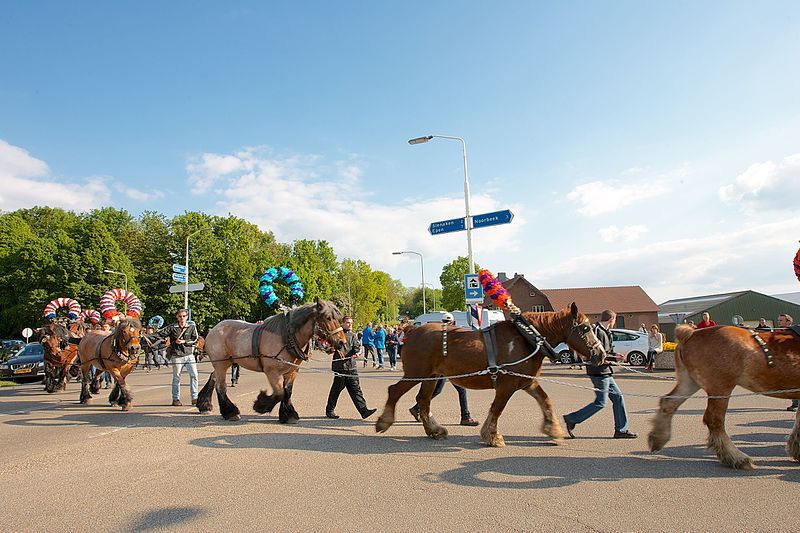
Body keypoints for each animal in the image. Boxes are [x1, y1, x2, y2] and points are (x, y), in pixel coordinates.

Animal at [198, 300, 346, 420]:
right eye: (328, 318)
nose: (342, 342)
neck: (287, 338)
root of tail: (213, 329)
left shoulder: (292, 371)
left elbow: (288, 392)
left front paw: (288, 414)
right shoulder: (273, 372)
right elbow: (280, 393)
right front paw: (260, 405)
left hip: (226, 363)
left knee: (213, 378)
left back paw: (204, 405)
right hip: (221, 363)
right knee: (221, 386)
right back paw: (230, 412)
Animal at [376, 304, 608, 444]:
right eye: (585, 328)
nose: (601, 354)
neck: (528, 338)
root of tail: (411, 330)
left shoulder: (526, 383)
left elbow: (546, 400)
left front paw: (553, 430)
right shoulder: (506, 385)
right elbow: (497, 409)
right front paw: (492, 436)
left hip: (431, 377)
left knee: (423, 400)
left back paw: (434, 430)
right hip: (416, 373)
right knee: (395, 391)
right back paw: (384, 421)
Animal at [648, 324, 800, 470]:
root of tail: (690, 334)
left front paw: (796, 449)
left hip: (690, 382)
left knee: (669, 403)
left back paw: (658, 438)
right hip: (720, 387)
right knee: (714, 420)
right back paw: (736, 458)